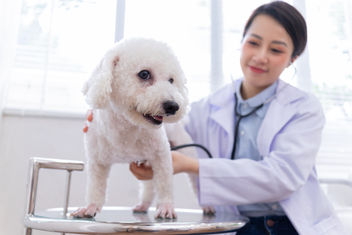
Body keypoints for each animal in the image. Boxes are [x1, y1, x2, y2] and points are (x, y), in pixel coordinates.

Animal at [71, 37, 190, 219]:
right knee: (149, 186)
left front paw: (166, 207)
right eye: (144, 74)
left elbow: (164, 183)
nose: (173, 106)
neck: (127, 127)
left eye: (171, 80)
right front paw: (90, 207)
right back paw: (144, 204)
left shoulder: (162, 155)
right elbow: (95, 186)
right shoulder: (97, 161)